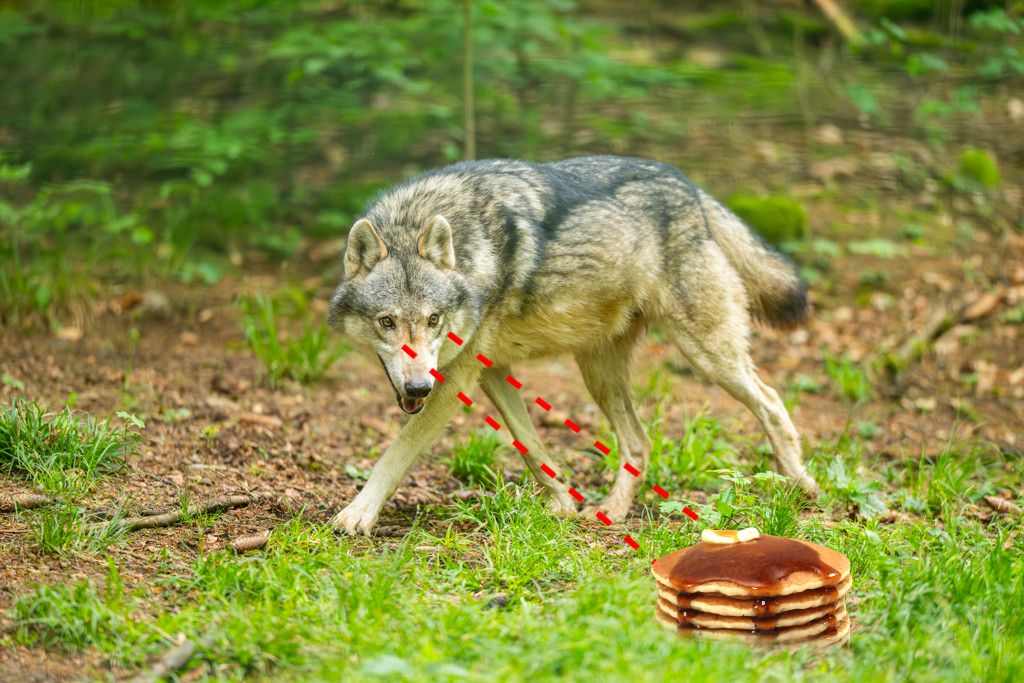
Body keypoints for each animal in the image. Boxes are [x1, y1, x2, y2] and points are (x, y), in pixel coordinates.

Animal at [328, 156, 819, 534]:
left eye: (433, 321)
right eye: (387, 322)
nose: (417, 389)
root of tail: (690, 187)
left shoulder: (454, 381)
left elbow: (396, 452)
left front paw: (355, 515)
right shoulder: (490, 371)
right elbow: (531, 444)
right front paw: (563, 502)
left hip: (708, 357)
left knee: (771, 401)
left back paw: (802, 487)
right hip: (599, 375)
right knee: (639, 443)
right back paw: (612, 512)